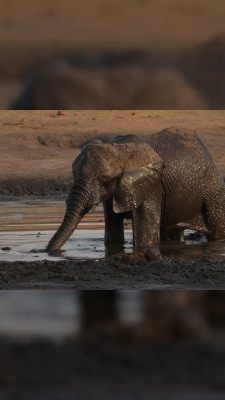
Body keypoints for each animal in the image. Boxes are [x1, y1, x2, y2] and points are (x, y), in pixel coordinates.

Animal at [45, 129, 225, 260]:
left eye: (104, 180)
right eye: (73, 174)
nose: (52, 252)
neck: (119, 148)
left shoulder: (153, 185)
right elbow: (112, 231)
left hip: (213, 193)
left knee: (217, 231)